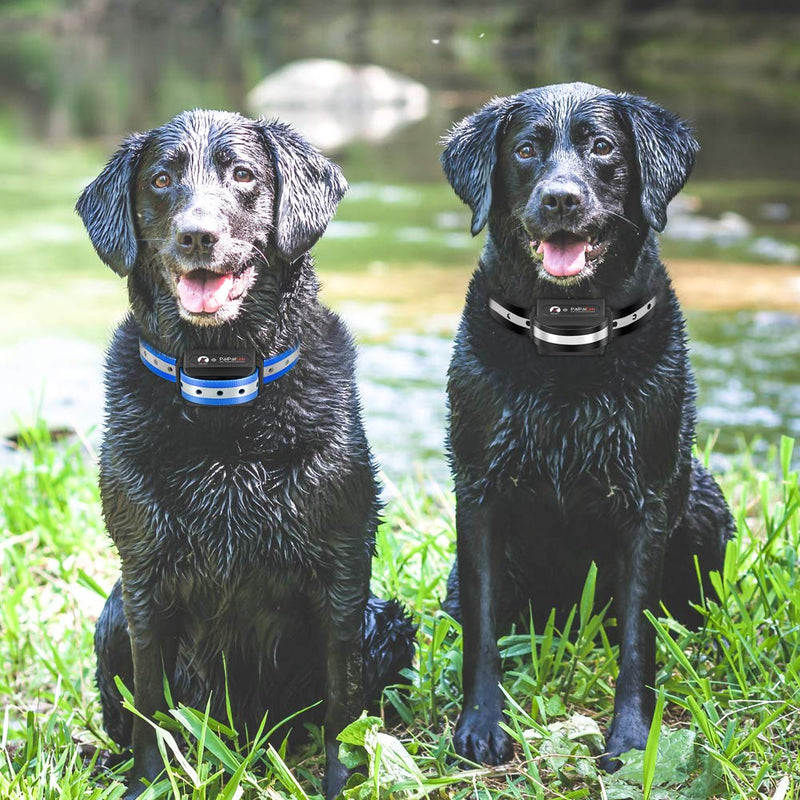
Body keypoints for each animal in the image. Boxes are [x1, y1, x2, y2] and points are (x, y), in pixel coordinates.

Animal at [77, 109, 416, 796]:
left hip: (385, 620)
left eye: (242, 174)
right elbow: (149, 710)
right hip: (113, 616)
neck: (222, 390)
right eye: (160, 179)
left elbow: (343, 717)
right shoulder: (145, 580)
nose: (197, 235)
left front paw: (340, 783)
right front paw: (147, 782)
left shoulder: (342, 576)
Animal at [440, 84, 736, 772]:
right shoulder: (479, 493)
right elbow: (483, 631)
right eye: (526, 150)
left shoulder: (648, 501)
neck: (567, 344)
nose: (561, 198)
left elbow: (637, 640)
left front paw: (630, 738)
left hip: (704, 505)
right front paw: (480, 726)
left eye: (602, 147)